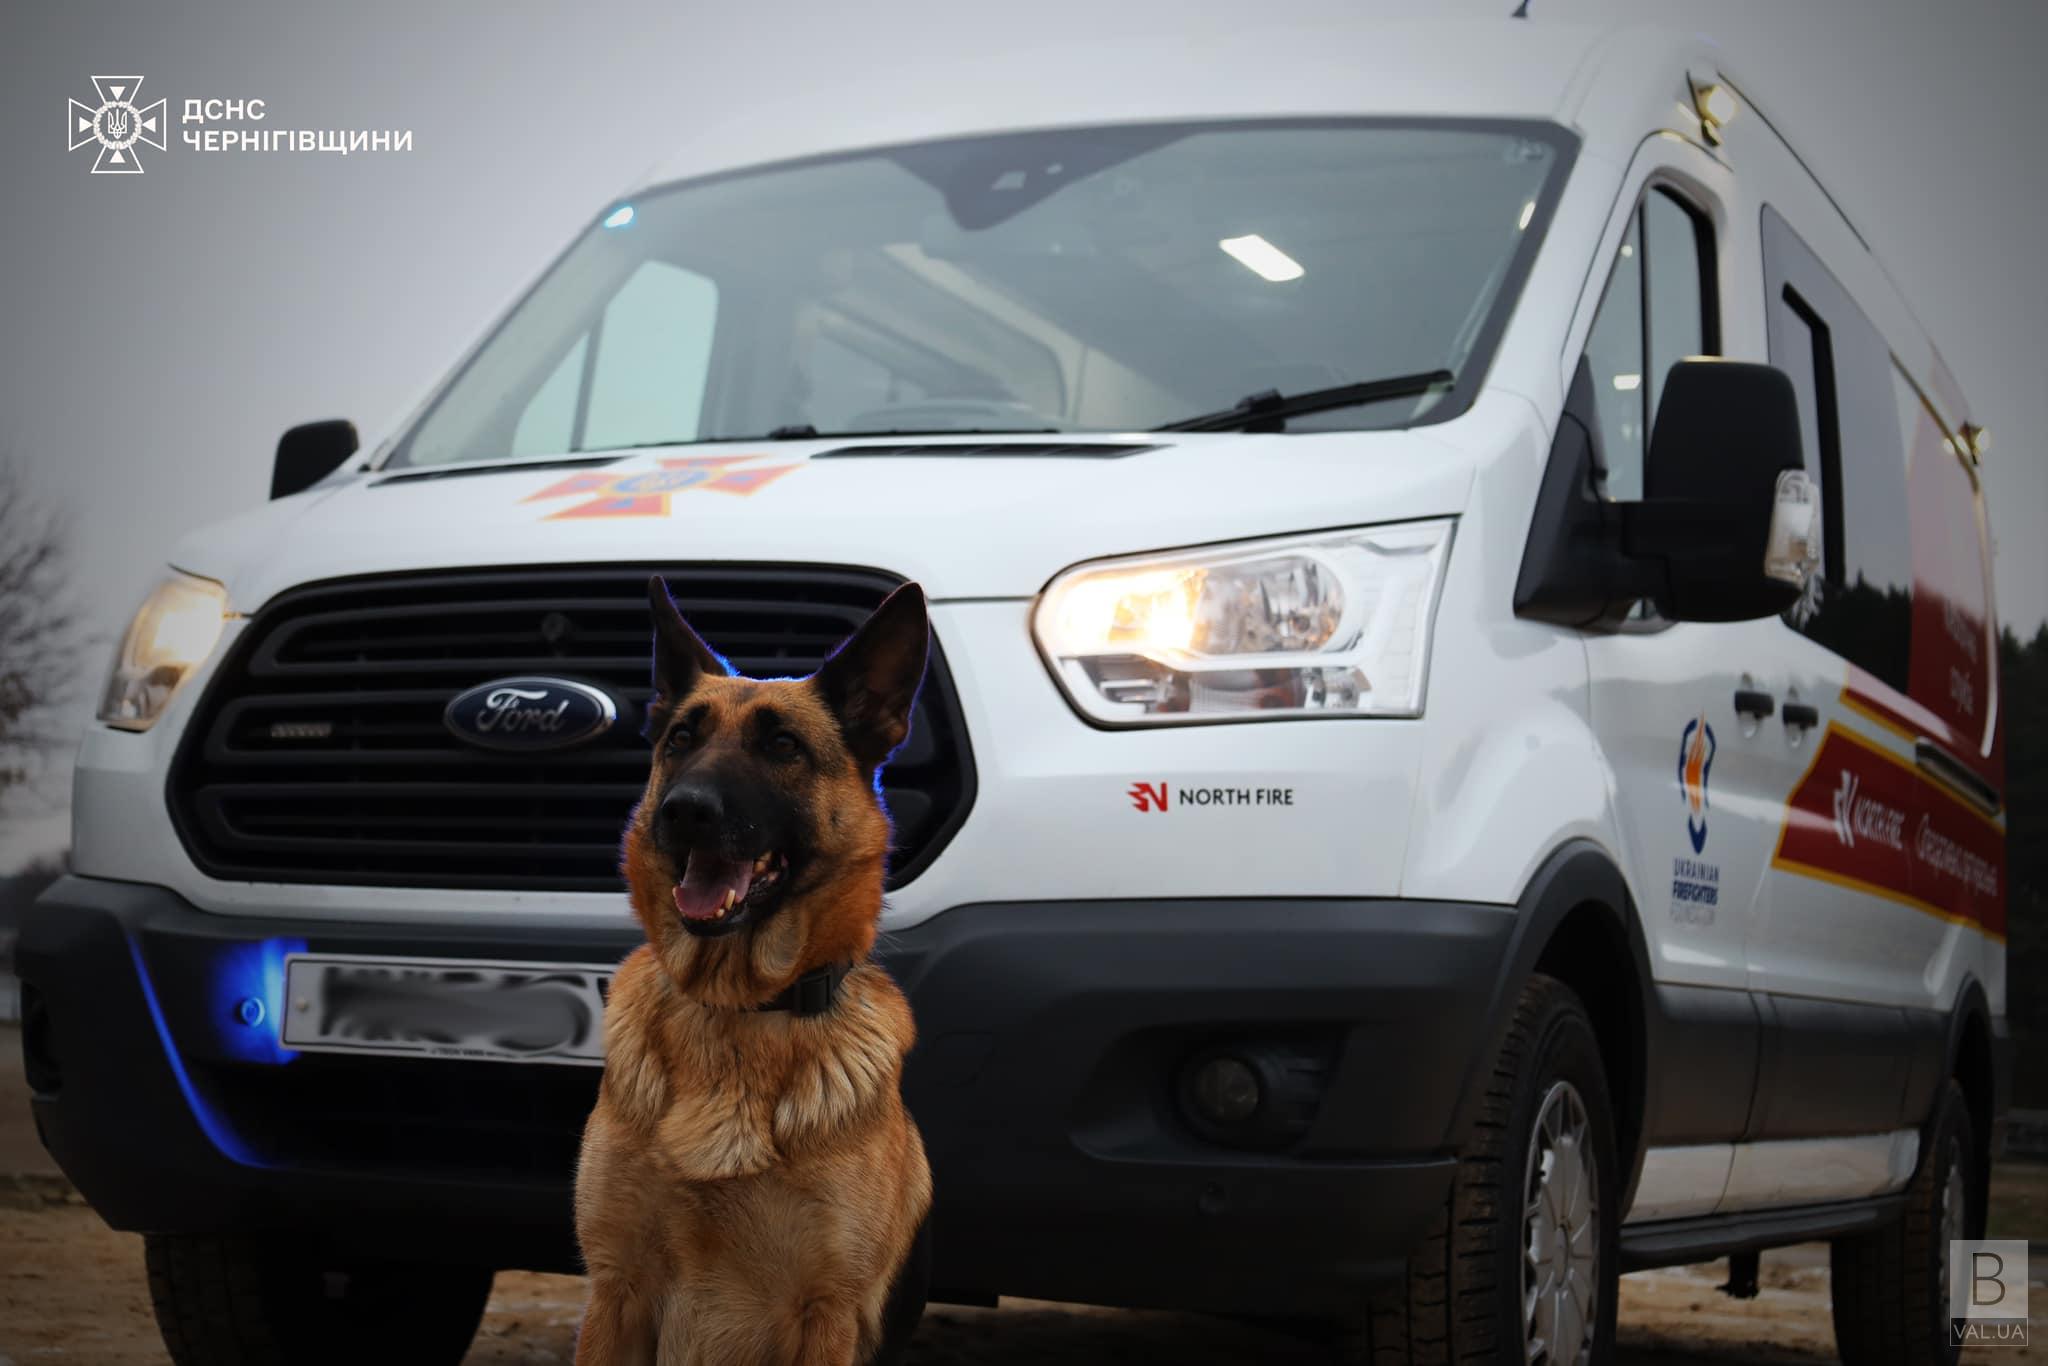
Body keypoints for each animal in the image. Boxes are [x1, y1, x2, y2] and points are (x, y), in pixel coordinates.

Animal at [573, 581, 933, 1366]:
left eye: (783, 746)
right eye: (681, 739)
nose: (683, 811)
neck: (735, 1013)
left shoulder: (825, 1313)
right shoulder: (615, 1292)